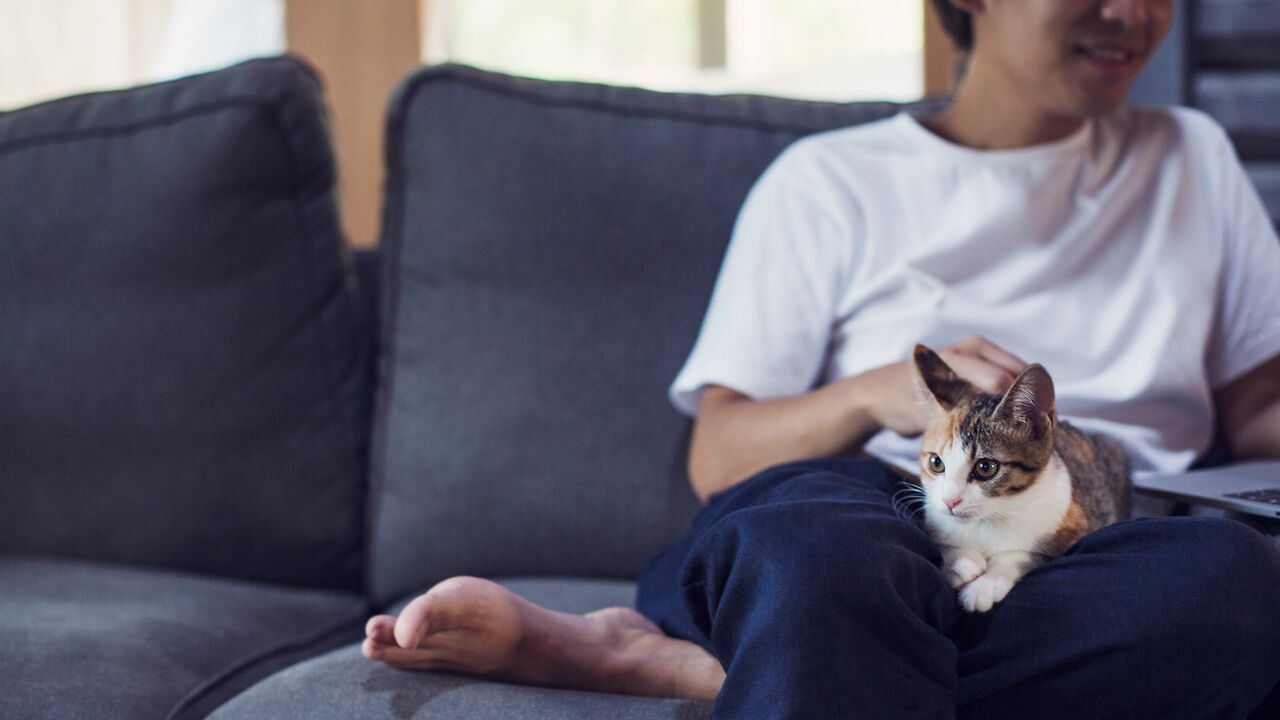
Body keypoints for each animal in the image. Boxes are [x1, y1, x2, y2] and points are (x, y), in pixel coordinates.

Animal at [911, 343, 1131, 609]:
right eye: (936, 463)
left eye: (986, 467)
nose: (950, 501)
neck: (990, 518)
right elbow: (942, 540)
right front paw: (960, 563)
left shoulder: (1076, 528)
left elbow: (1024, 556)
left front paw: (985, 586)